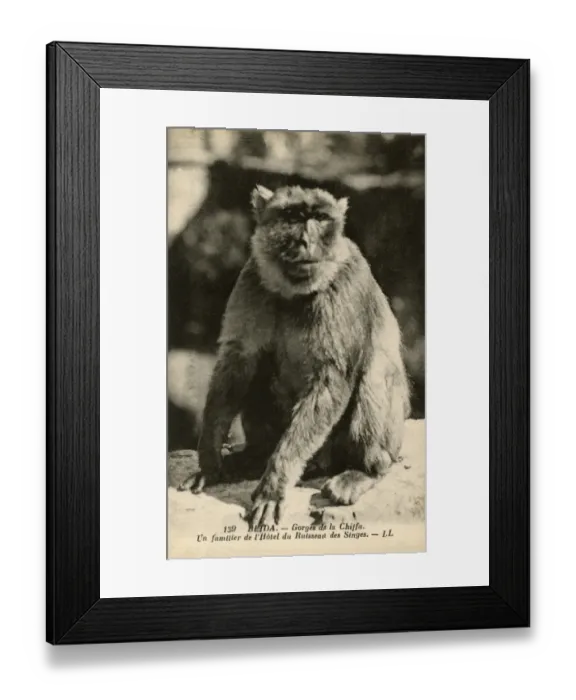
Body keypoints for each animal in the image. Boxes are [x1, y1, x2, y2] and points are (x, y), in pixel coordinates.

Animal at [189, 184, 411, 529]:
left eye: (319, 218)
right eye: (292, 216)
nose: (305, 241)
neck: (295, 293)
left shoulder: (344, 285)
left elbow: (332, 378)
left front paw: (272, 488)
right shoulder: (253, 277)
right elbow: (239, 359)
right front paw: (209, 461)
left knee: (374, 374)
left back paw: (363, 472)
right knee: (258, 366)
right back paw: (254, 455)